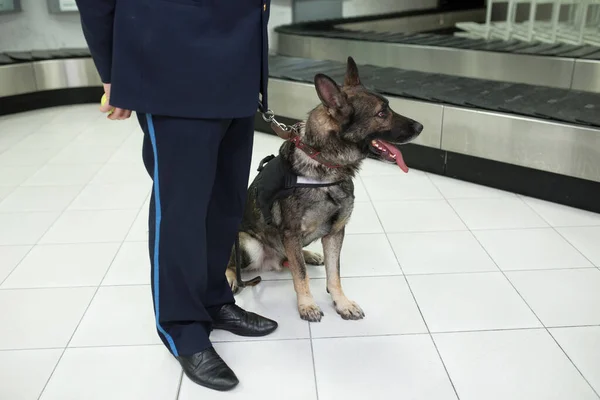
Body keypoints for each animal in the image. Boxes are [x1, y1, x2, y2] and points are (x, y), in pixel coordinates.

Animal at [225, 57, 422, 322]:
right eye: (382, 113)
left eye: (388, 108)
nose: (420, 126)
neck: (325, 164)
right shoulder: (290, 233)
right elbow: (301, 275)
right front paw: (307, 305)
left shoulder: (335, 233)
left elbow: (334, 274)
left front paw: (341, 302)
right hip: (248, 245)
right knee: (232, 263)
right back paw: (232, 277)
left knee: (292, 257)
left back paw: (309, 255)